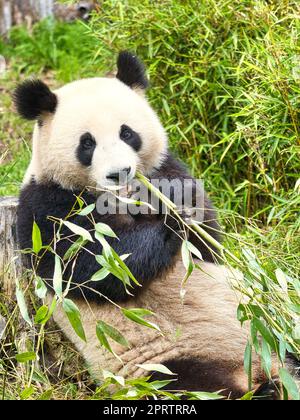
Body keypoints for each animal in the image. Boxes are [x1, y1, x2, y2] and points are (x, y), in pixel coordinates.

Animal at [13, 50, 298, 398]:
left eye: (127, 133)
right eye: (87, 143)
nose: (119, 172)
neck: (120, 198)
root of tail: (255, 368)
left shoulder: (166, 169)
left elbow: (207, 239)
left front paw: (178, 208)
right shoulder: (45, 206)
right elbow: (91, 266)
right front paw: (171, 224)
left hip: (267, 332)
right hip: (162, 365)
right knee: (192, 384)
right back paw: (262, 390)